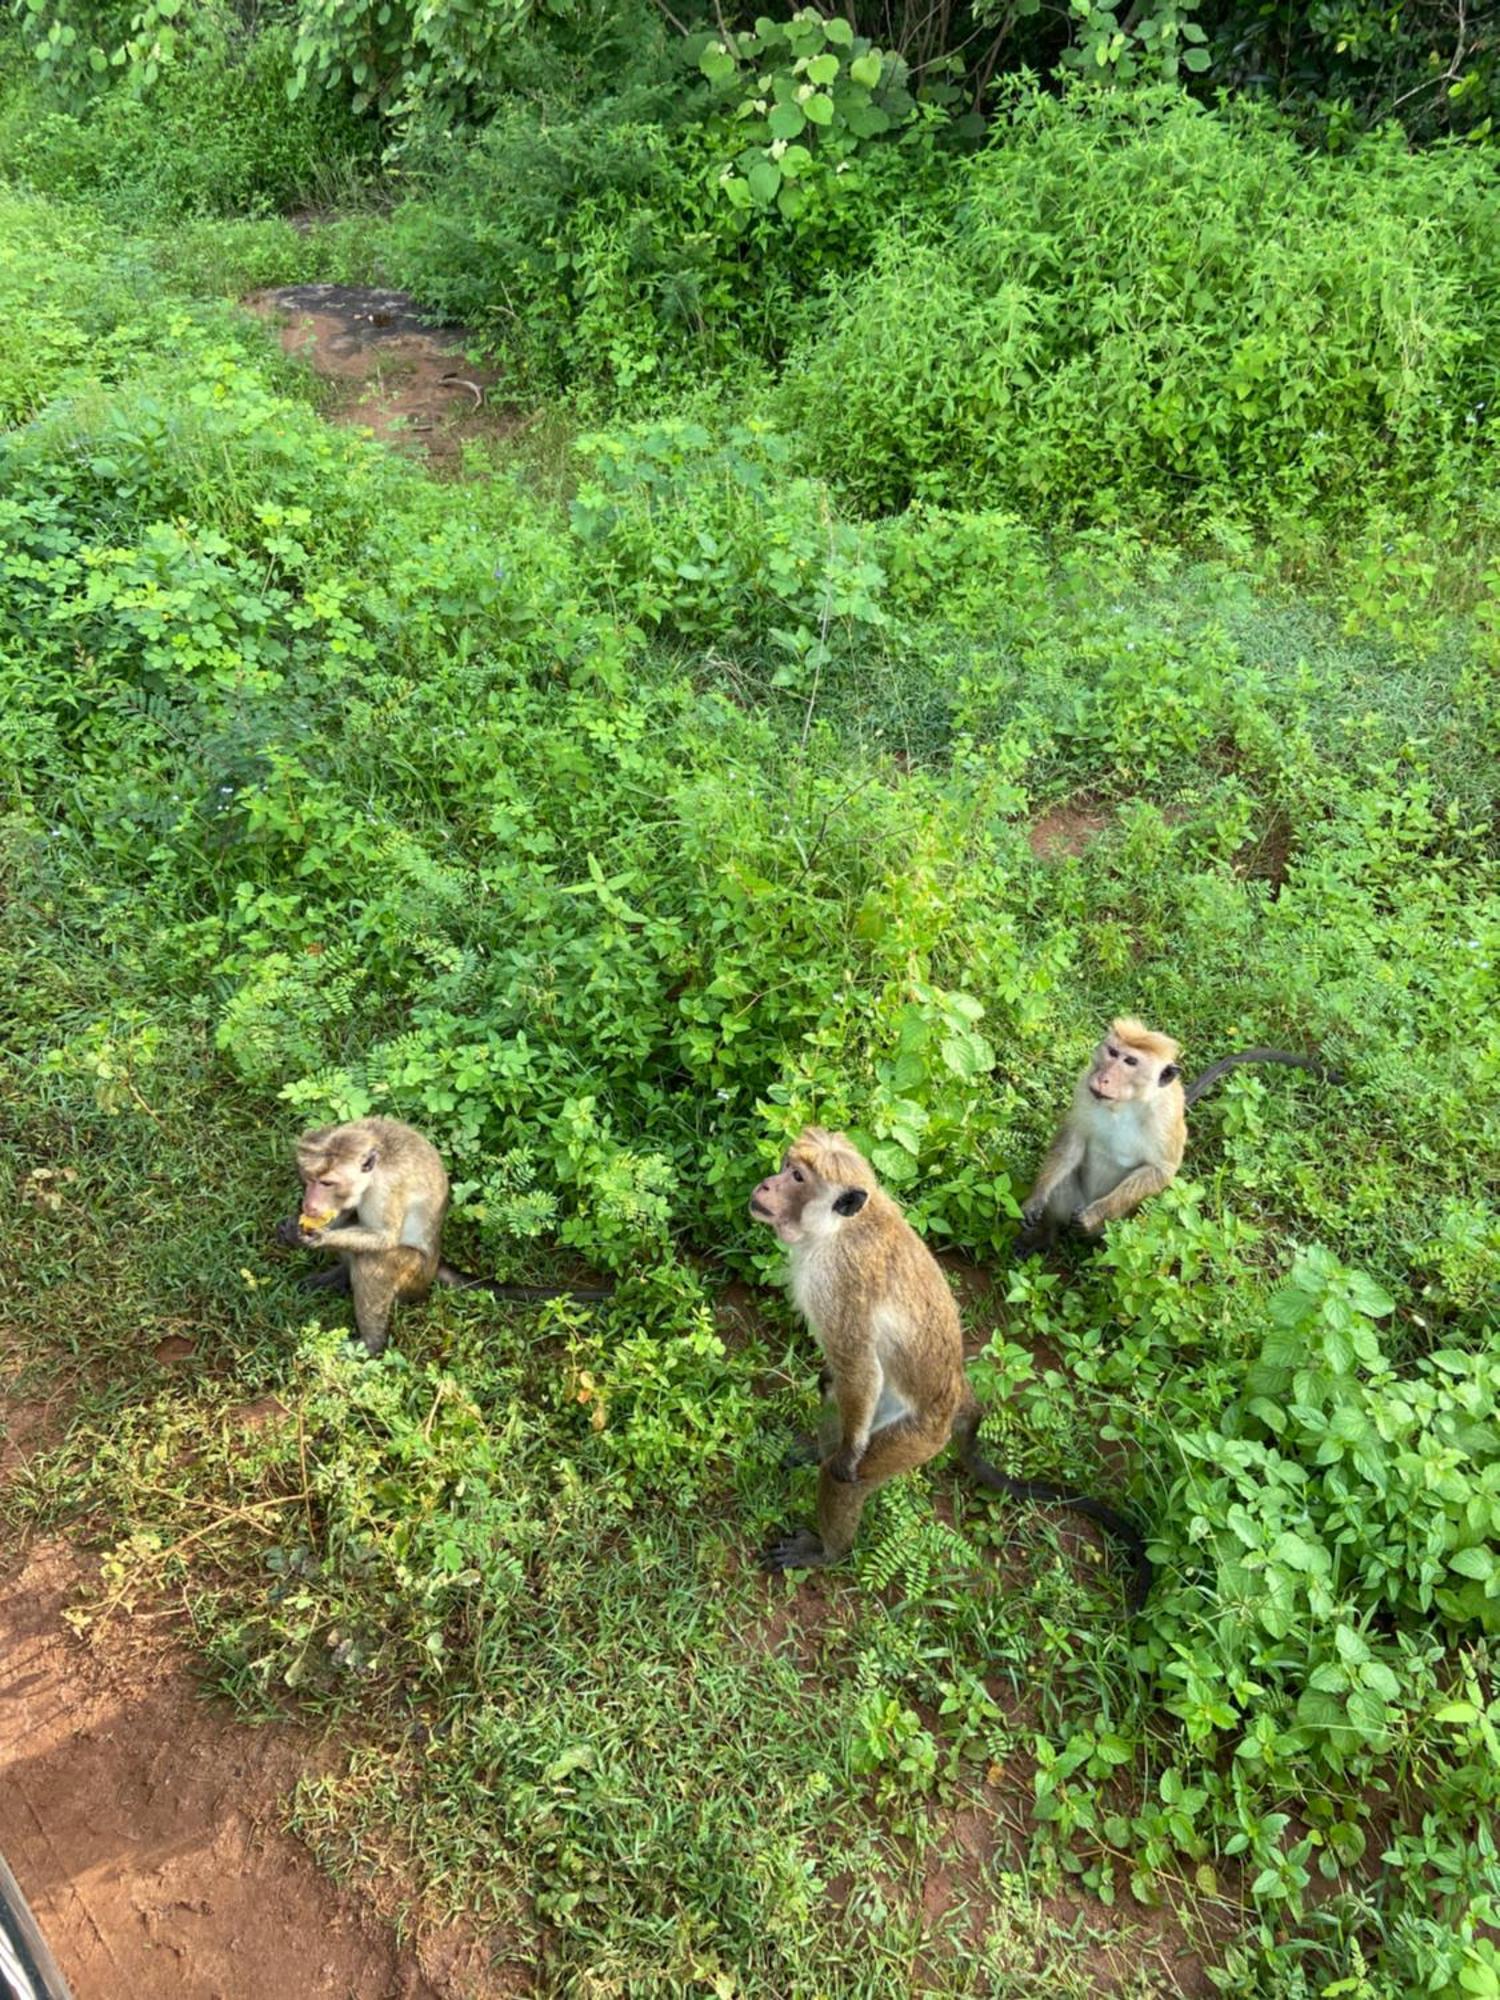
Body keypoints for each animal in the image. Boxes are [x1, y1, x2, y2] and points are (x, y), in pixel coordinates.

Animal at [276, 1112, 612, 1360]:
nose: (309, 1203)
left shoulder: (385, 1190)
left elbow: (384, 1238)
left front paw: (317, 1238)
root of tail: (435, 1265)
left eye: (327, 1182)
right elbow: (345, 1214)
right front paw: (295, 1229)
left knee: (375, 1262)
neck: (375, 1163)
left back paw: (371, 1345)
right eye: (309, 1179)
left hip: (414, 1275)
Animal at [748, 1128, 1152, 1608]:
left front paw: (843, 1459)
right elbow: (842, 1379)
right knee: (838, 1398)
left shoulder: (840, 1283)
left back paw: (828, 1548)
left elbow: (860, 1370)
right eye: (786, 1165)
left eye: (797, 1177)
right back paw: (821, 1449)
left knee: (849, 1463)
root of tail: (956, 1392)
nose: (766, 1184)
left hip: (918, 1437)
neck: (837, 1229)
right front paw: (826, 1415)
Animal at [1016, 1016, 1344, 1248]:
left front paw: (1095, 1213)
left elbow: (1161, 1169)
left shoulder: (1165, 1120)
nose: (1104, 1077)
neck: (1126, 1105)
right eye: (1112, 1052)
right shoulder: (1084, 1089)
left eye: (1130, 1061)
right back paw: (1046, 1233)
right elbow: (1071, 1141)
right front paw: (1035, 1199)